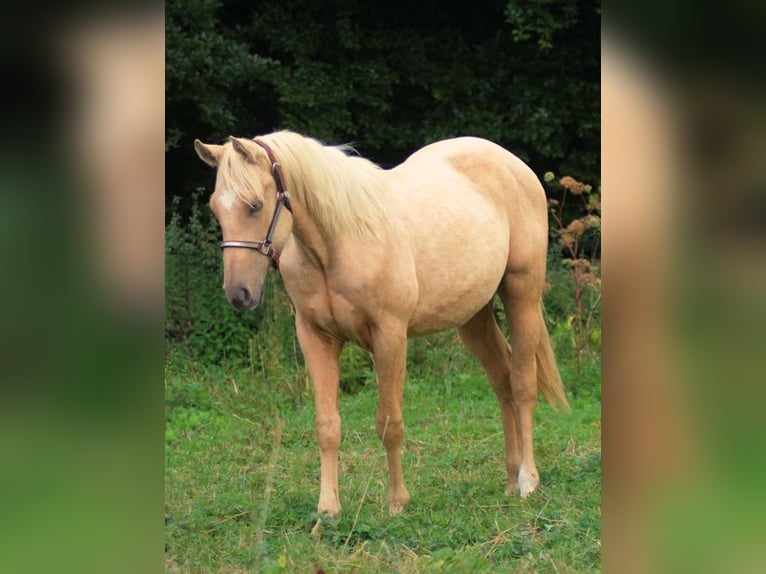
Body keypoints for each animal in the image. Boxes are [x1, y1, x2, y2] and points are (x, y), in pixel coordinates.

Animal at [195, 133, 572, 520]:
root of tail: (514, 165)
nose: (238, 293)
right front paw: (327, 510)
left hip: (522, 293)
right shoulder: (316, 338)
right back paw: (510, 480)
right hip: (474, 316)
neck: (339, 241)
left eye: (255, 206)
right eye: (215, 208)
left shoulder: (389, 336)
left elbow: (389, 423)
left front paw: (397, 503)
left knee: (522, 383)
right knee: (502, 382)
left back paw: (527, 480)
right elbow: (327, 425)